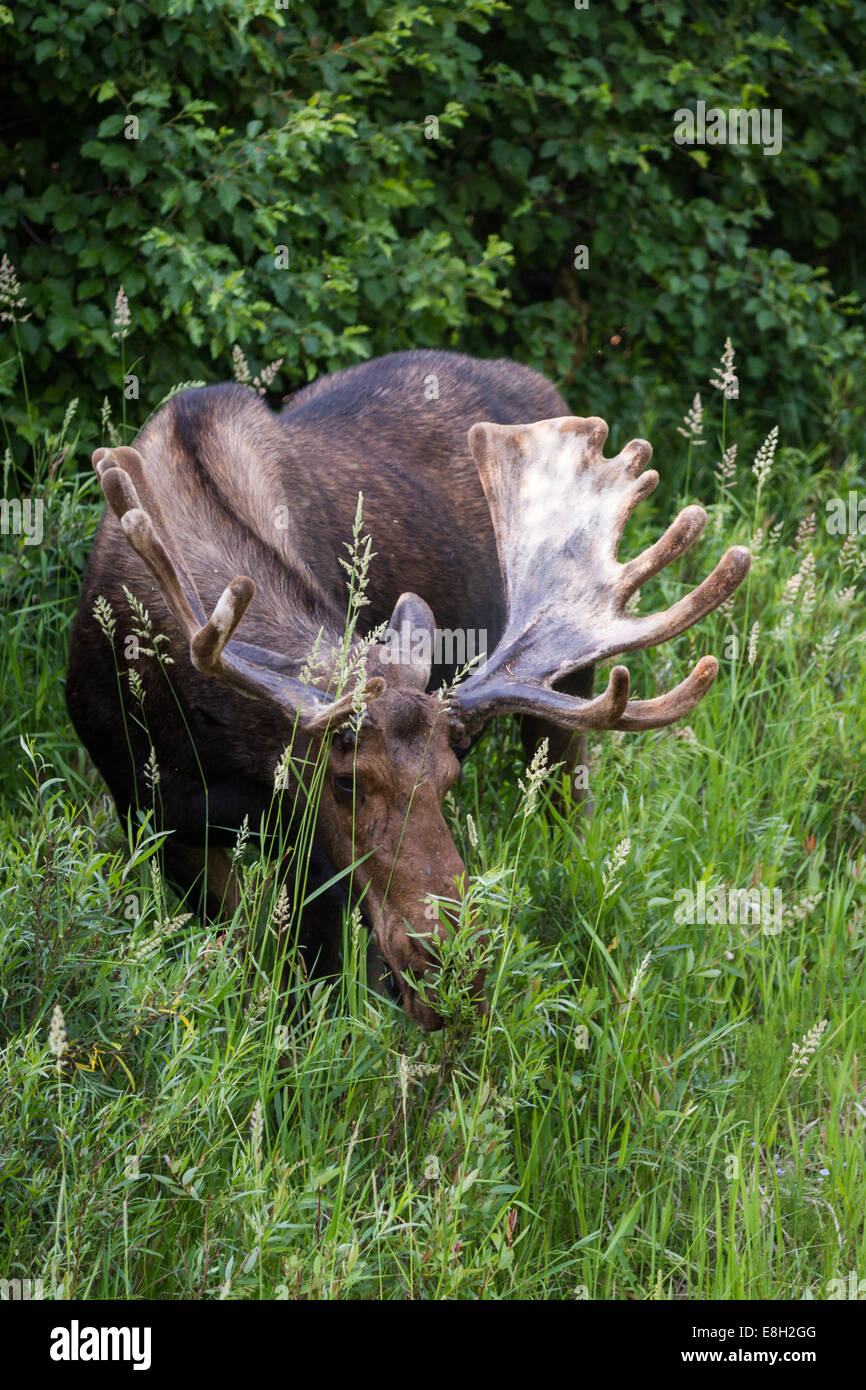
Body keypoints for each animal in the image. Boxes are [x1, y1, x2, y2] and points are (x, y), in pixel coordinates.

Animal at [66, 350, 750, 1030]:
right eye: (345, 781)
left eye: (448, 776)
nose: (454, 964)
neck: (206, 741)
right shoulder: (153, 817)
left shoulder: (308, 856)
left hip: (570, 704)